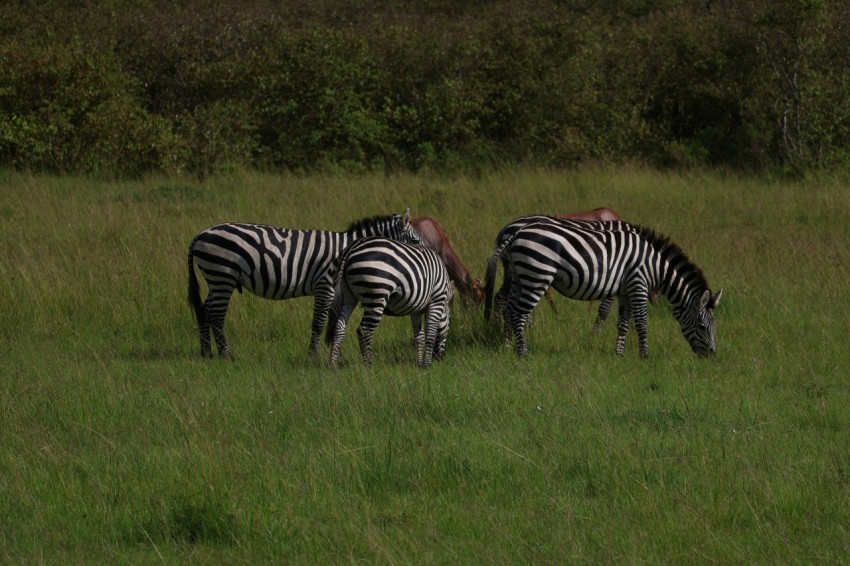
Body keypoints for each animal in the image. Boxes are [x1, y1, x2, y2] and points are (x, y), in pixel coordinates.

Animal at [189, 209, 420, 360]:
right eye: (416, 241)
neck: (348, 249)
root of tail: (201, 234)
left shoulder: (336, 290)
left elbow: (333, 320)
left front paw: (332, 352)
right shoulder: (325, 285)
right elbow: (319, 322)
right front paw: (314, 356)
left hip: (215, 279)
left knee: (204, 311)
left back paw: (206, 353)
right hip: (222, 275)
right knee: (216, 315)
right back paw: (226, 355)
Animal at [322, 237, 450, 370]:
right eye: (449, 326)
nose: (441, 358)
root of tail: (350, 249)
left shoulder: (416, 309)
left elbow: (419, 337)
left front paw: (419, 364)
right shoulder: (437, 300)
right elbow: (431, 335)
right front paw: (427, 365)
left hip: (347, 297)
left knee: (339, 327)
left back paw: (333, 365)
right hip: (376, 294)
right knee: (364, 331)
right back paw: (370, 366)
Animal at [486, 219, 720, 358]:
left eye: (714, 327)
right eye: (701, 326)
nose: (711, 355)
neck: (654, 264)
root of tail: (514, 232)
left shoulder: (625, 290)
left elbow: (623, 323)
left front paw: (619, 354)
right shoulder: (638, 284)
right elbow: (641, 322)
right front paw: (645, 355)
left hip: (520, 277)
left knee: (510, 308)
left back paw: (509, 346)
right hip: (537, 275)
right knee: (519, 313)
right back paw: (523, 353)